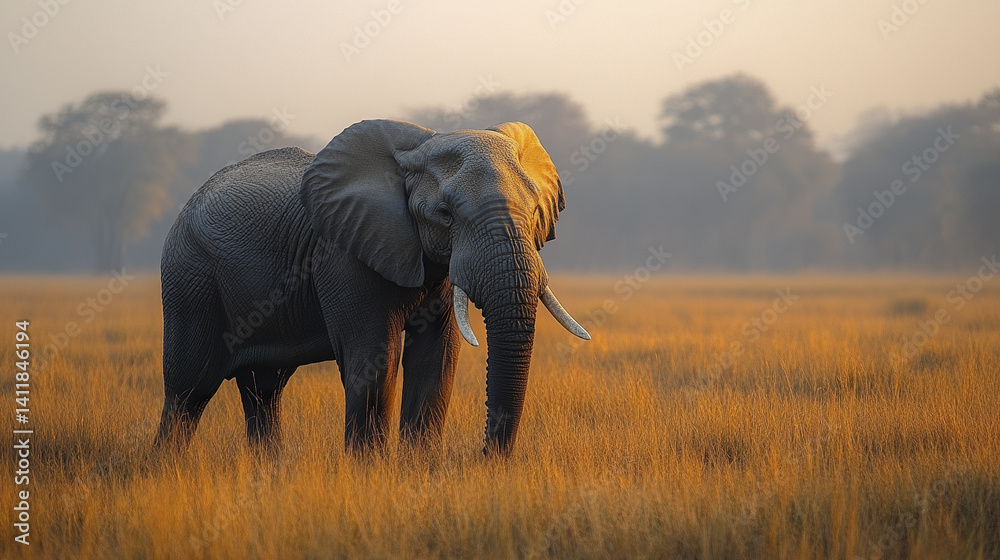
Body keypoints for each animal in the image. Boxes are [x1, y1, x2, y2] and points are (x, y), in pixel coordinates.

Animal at [154, 119, 590, 457]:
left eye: (535, 211)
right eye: (445, 214)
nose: (485, 457)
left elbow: (437, 359)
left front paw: (419, 468)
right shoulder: (343, 254)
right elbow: (375, 357)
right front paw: (371, 472)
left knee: (264, 387)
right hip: (189, 276)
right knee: (189, 387)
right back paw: (166, 469)